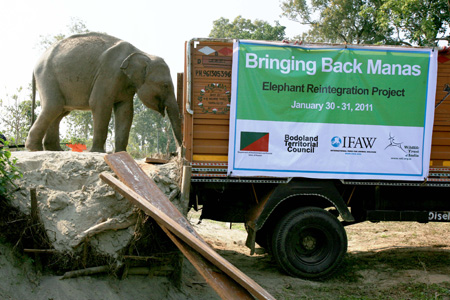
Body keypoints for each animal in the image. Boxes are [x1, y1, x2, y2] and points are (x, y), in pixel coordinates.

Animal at [24, 32, 182, 152]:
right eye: (165, 85)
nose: (179, 152)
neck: (141, 52)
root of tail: (35, 63)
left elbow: (126, 111)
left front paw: (120, 153)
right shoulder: (108, 73)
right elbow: (99, 103)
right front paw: (98, 152)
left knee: (60, 112)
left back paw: (55, 150)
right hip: (47, 76)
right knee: (53, 106)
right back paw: (35, 149)